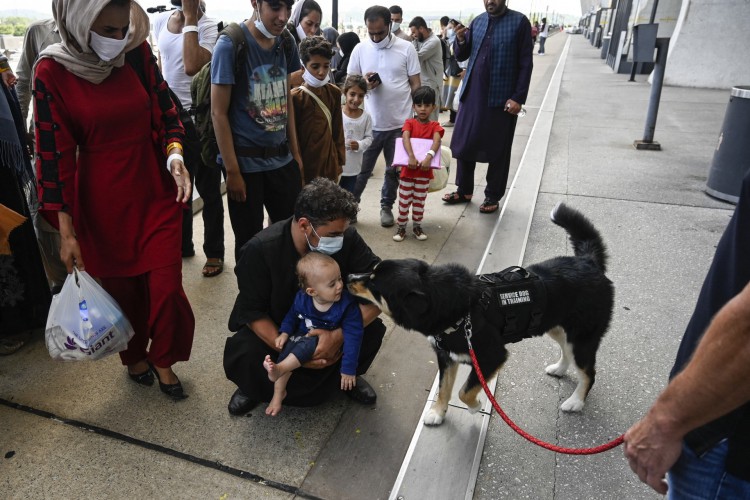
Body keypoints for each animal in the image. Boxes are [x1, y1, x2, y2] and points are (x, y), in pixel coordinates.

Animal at [350, 203, 612, 426]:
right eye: (369, 273)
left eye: (374, 284)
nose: (350, 276)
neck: (456, 310)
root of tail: (589, 262)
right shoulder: (446, 356)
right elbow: (445, 388)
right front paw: (437, 413)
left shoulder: (491, 356)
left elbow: (463, 391)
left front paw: (475, 406)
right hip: (559, 329)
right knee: (567, 352)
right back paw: (559, 369)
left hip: (583, 338)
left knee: (589, 374)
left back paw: (575, 402)